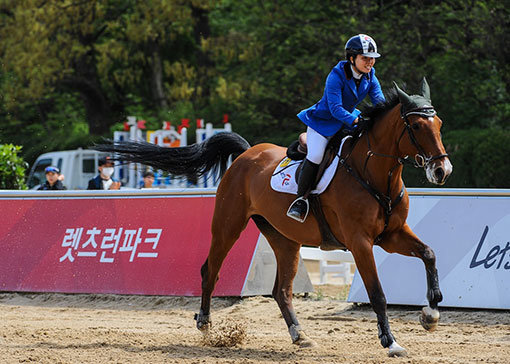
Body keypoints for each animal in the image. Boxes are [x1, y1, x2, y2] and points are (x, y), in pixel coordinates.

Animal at [96, 79, 454, 356]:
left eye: (438, 125)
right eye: (417, 126)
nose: (442, 170)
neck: (374, 174)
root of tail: (246, 153)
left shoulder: (391, 235)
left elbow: (429, 254)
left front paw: (431, 314)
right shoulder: (360, 242)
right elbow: (377, 293)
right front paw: (391, 342)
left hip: (285, 239)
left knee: (281, 290)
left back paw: (300, 335)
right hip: (228, 226)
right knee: (210, 270)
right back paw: (206, 324)